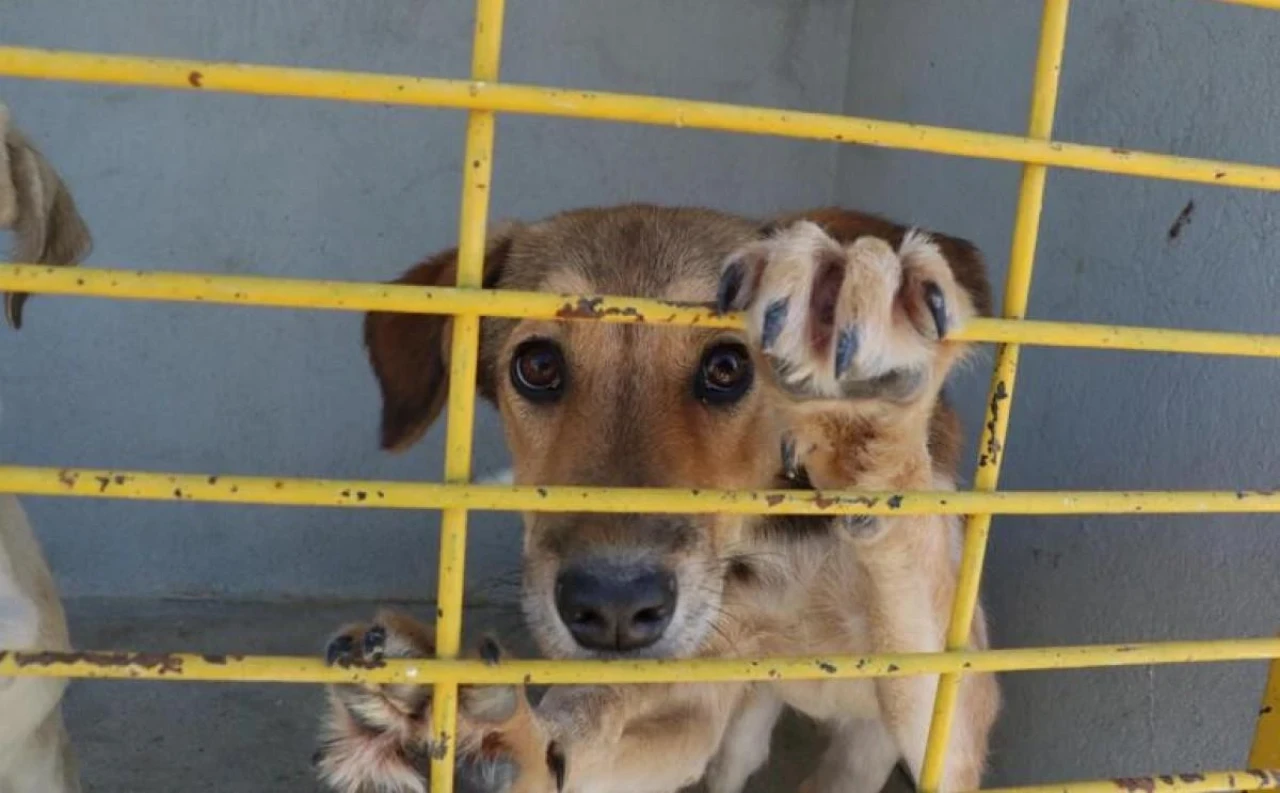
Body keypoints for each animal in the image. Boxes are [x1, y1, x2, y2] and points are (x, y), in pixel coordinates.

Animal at [317, 203, 998, 793]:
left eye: (727, 368)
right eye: (536, 366)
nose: (613, 609)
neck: (784, 560)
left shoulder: (958, 707)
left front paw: (861, 391)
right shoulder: (699, 690)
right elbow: (575, 744)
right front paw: (481, 738)